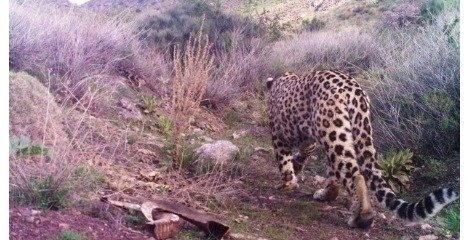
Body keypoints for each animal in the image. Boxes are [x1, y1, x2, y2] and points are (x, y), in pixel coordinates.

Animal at [268, 69, 458, 227]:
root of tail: (354, 89)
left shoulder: (279, 135)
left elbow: (284, 162)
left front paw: (287, 183)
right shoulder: (308, 140)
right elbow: (300, 156)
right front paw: (295, 171)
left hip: (333, 133)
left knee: (354, 174)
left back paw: (361, 217)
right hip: (345, 133)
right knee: (339, 172)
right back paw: (326, 195)